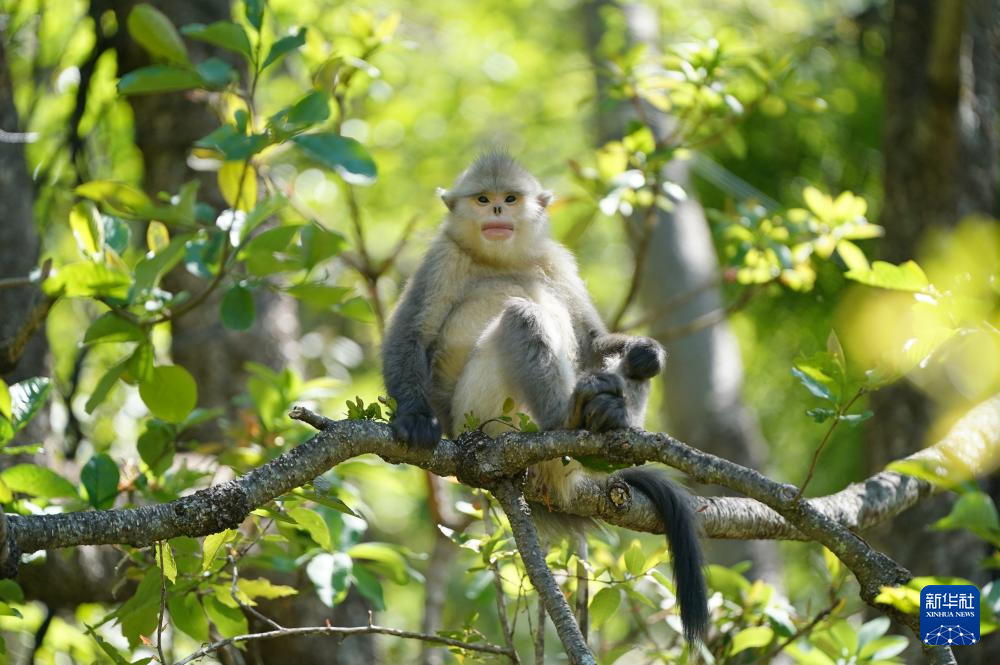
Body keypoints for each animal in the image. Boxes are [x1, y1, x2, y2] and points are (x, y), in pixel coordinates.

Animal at [382, 152, 712, 644]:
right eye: (482, 199)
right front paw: (414, 418)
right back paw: (568, 416)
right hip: (485, 415)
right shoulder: (440, 258)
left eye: (510, 198)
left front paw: (645, 351)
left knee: (620, 367)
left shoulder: (556, 260)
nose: (498, 211)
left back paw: (610, 415)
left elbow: (593, 341)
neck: (499, 260)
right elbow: (410, 335)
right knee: (523, 314)